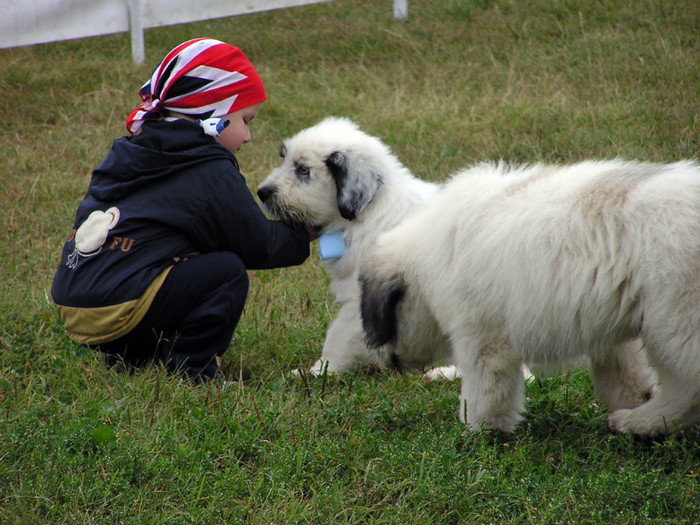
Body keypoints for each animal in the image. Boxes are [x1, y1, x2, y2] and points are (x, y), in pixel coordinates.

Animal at [256, 116, 454, 374]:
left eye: (302, 170)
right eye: (283, 159)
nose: (261, 192)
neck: (370, 211)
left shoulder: (360, 297)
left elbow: (338, 337)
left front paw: (316, 372)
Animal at [360, 158, 700, 436]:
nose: (382, 364)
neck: (431, 258)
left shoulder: (483, 337)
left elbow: (485, 392)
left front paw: (478, 433)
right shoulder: (609, 330)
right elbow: (622, 376)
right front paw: (631, 402)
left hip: (676, 318)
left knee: (686, 389)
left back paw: (640, 422)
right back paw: (638, 421)